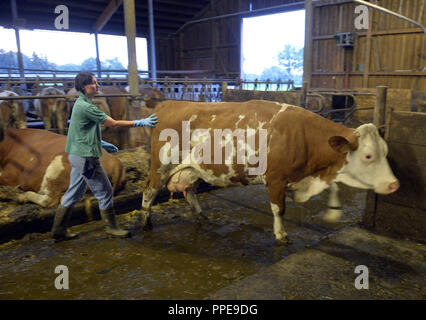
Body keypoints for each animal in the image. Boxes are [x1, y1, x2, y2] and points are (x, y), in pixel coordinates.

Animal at [141, 100, 400, 242]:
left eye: (386, 150)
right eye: (368, 156)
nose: (394, 184)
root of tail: (167, 104)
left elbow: (334, 187)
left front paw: (333, 212)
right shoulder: (276, 179)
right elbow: (279, 209)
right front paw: (280, 234)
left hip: (193, 169)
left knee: (189, 191)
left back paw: (201, 217)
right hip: (160, 165)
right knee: (148, 193)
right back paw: (146, 223)